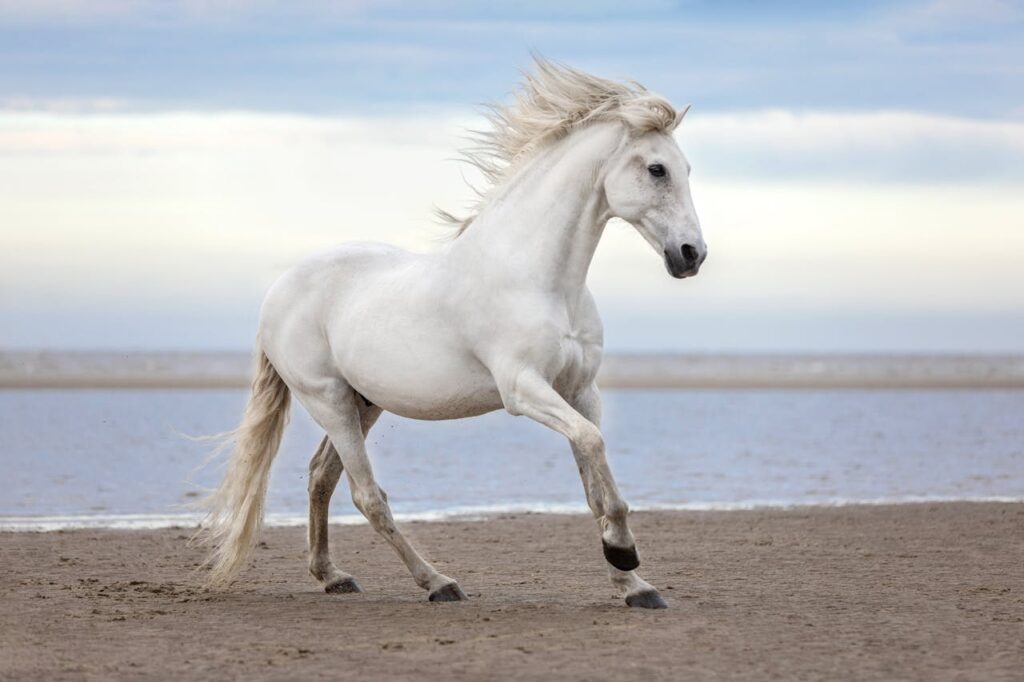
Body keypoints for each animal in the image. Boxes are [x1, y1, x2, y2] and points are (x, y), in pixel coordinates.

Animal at [197, 58, 707, 609]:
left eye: (686, 169)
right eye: (657, 169)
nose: (691, 255)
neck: (540, 279)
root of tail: (279, 290)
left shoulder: (580, 392)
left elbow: (595, 478)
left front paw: (635, 586)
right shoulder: (524, 390)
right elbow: (594, 449)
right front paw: (624, 554)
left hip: (363, 403)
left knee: (320, 478)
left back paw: (333, 576)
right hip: (327, 399)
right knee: (367, 495)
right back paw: (438, 582)